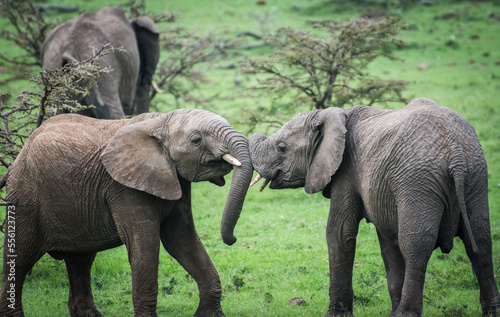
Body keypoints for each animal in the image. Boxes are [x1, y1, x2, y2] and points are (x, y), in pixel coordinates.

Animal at [0, 107, 252, 314]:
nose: (232, 239)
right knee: (20, 260)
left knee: (80, 260)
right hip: (26, 198)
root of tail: (18, 158)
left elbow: (181, 239)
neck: (160, 121)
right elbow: (146, 244)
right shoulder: (124, 187)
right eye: (197, 140)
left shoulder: (175, 179)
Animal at [249, 97, 500, 314]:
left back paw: (405, 314)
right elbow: (387, 240)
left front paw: (336, 315)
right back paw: (491, 311)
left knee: (416, 245)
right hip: (476, 175)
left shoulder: (346, 171)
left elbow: (339, 232)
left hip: (417, 181)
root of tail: (455, 150)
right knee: (480, 241)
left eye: (282, 147)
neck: (332, 115)